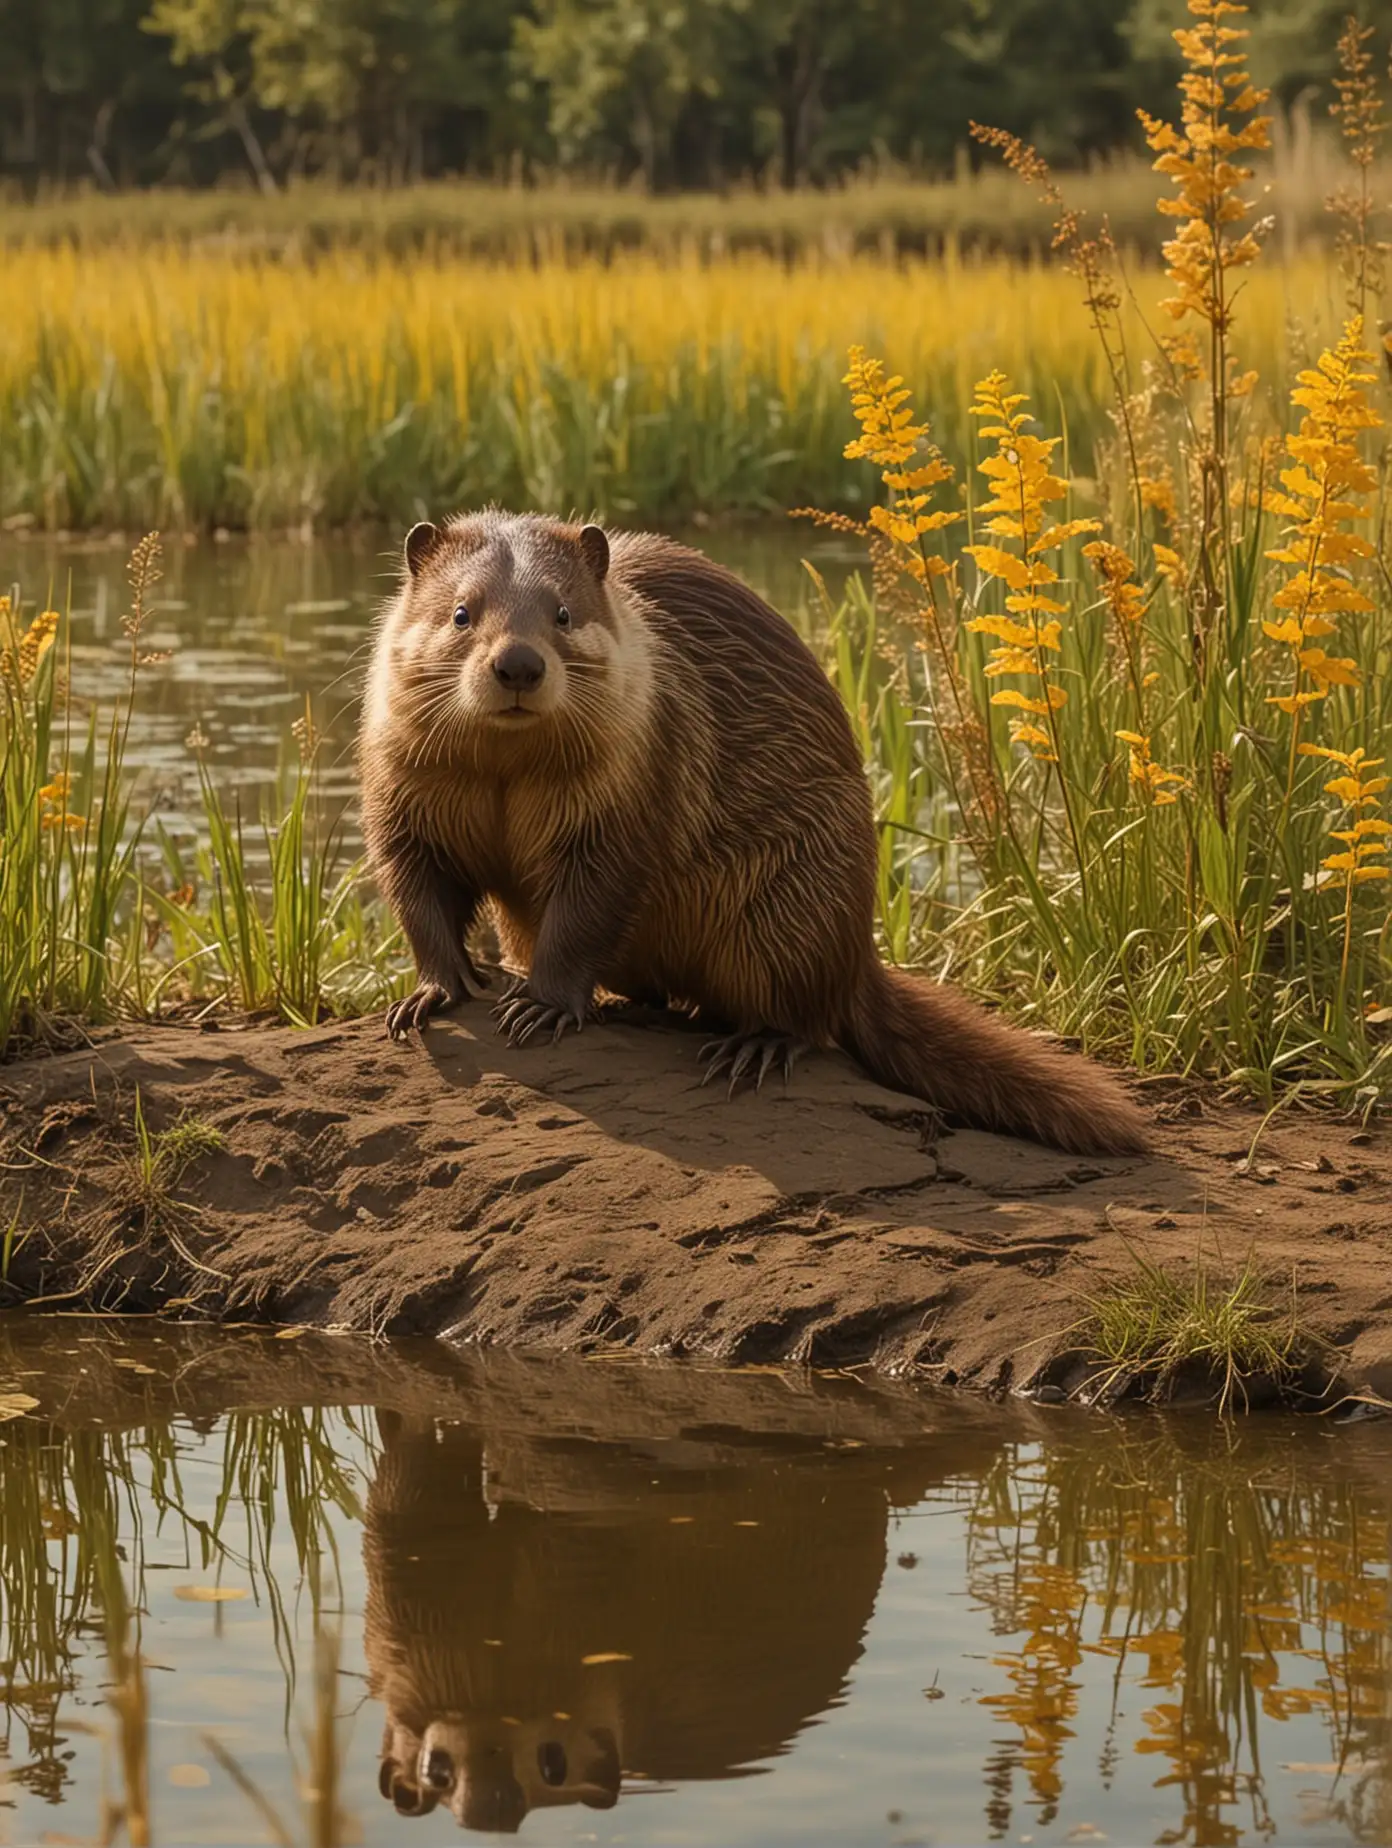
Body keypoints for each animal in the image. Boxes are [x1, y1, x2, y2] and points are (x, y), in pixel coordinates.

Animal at [354, 513, 1138, 1145]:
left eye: (564, 613)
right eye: (462, 612)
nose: (518, 663)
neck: (506, 777)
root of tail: (858, 955)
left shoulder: (628, 807)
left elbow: (586, 911)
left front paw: (540, 1007)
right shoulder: (399, 801)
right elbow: (417, 896)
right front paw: (431, 995)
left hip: (794, 902)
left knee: (804, 1019)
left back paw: (750, 1049)